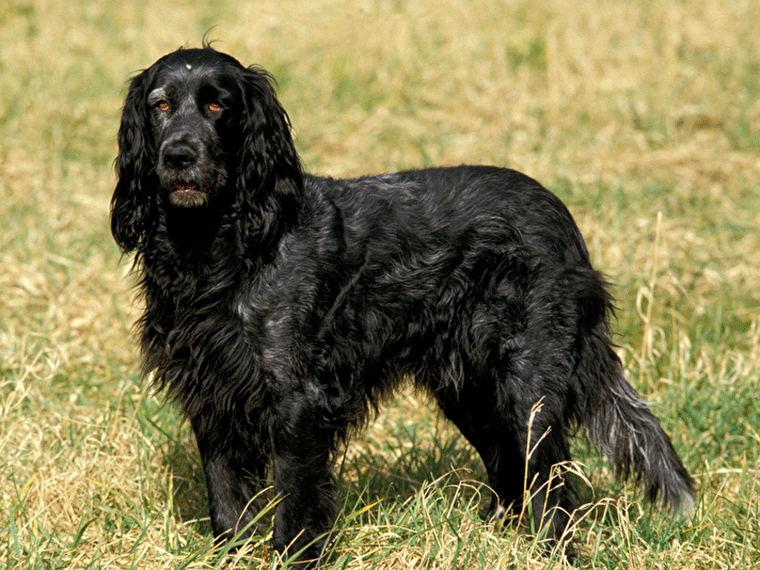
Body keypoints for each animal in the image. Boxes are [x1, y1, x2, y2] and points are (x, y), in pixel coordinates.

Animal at [111, 46, 696, 560]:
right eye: (160, 105)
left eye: (218, 105)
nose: (177, 156)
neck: (220, 247)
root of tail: (560, 215)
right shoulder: (210, 393)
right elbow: (227, 507)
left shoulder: (297, 401)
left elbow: (295, 511)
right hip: (471, 388)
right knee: (510, 474)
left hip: (528, 387)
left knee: (550, 489)